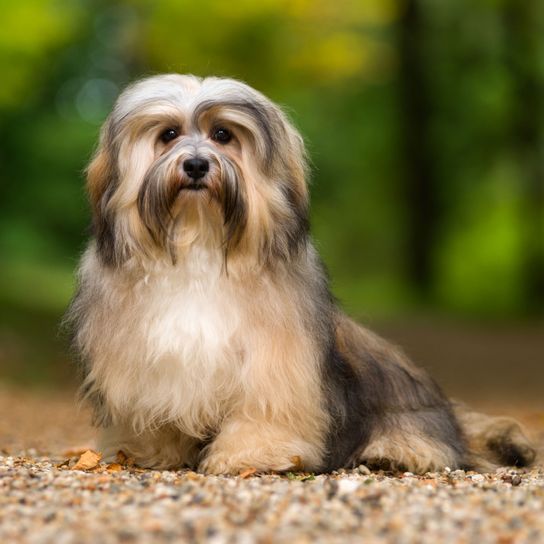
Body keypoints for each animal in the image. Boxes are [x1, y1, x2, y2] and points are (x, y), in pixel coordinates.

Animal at [65, 74, 536, 474]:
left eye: (223, 135)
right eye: (168, 135)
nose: (196, 165)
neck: (200, 244)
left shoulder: (276, 362)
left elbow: (265, 410)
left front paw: (252, 455)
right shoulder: (148, 363)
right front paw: (149, 451)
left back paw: (393, 452)